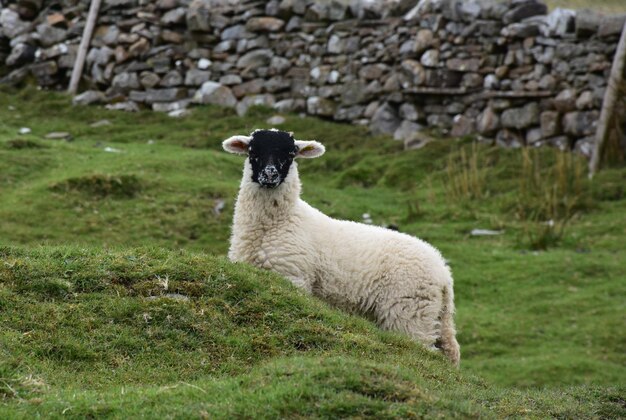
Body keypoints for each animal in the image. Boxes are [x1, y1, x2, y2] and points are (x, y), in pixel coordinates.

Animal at [221, 129, 458, 364]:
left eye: (290, 153)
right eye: (253, 150)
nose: (270, 174)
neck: (277, 223)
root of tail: (443, 274)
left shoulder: (293, 277)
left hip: (409, 312)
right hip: (435, 316)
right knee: (451, 351)